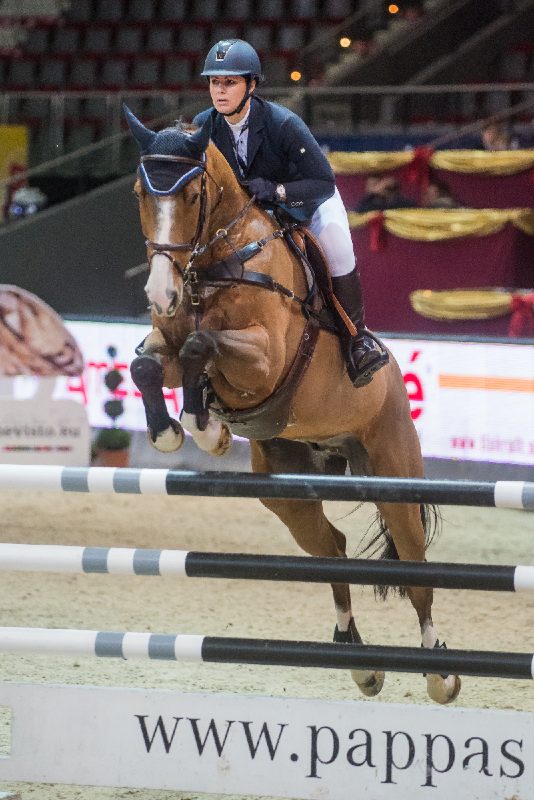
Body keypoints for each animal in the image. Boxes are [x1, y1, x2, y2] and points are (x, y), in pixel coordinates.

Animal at [124, 103, 460, 704]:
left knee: (416, 570)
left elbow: (201, 345)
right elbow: (150, 363)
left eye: (192, 196)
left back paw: (439, 672)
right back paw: (358, 659)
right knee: (333, 549)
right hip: (289, 491)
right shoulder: (168, 340)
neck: (219, 258)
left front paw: (205, 426)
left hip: (393, 476)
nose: (160, 294)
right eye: (141, 192)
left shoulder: (265, 359)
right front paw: (177, 430)